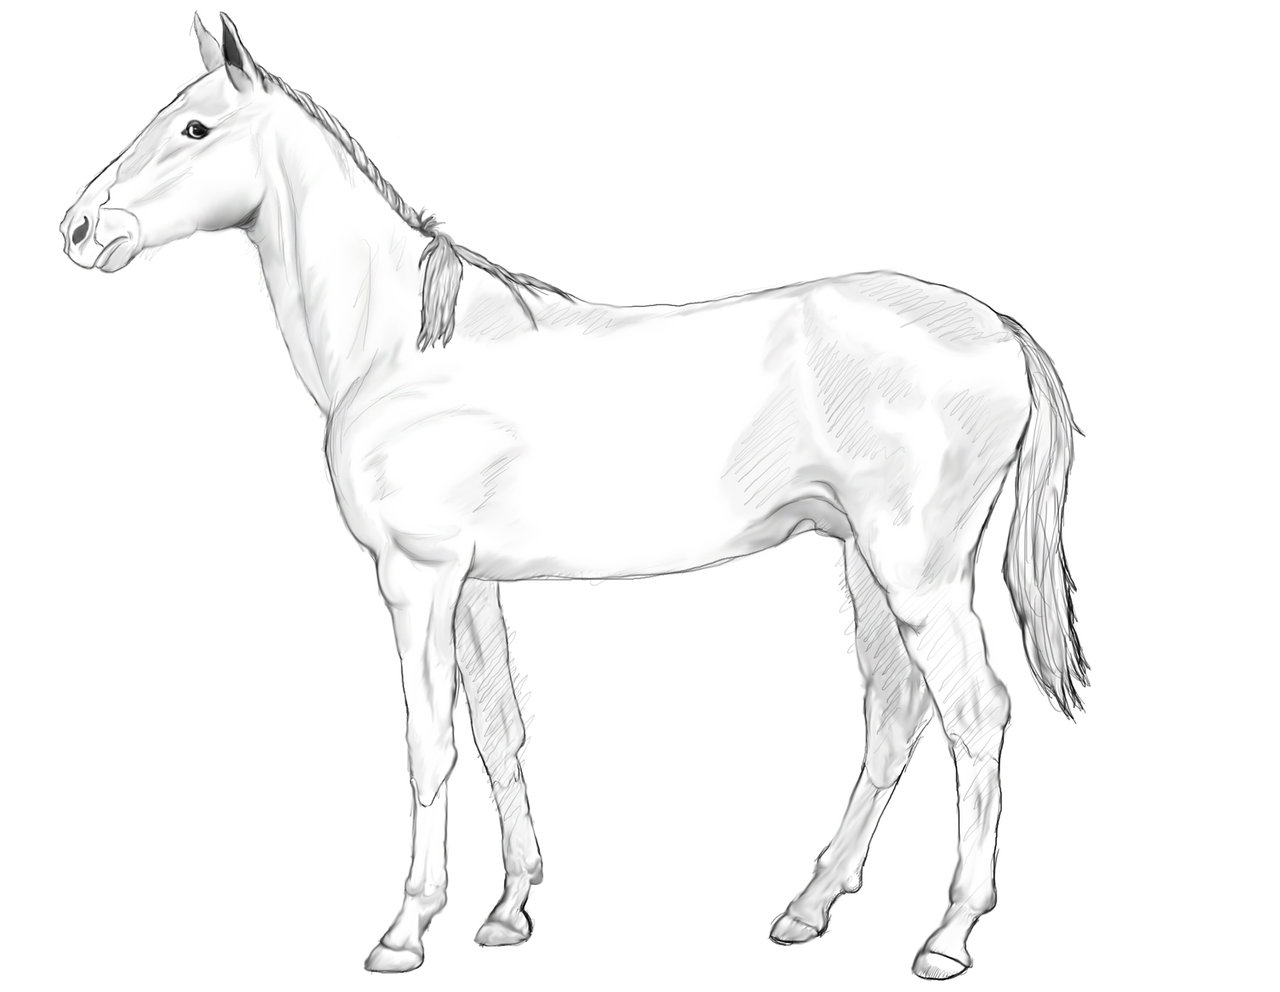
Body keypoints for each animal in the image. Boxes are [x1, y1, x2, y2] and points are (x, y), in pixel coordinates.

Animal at [60, 13, 1087, 981]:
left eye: (194, 127)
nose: (78, 229)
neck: (405, 347)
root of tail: (997, 325)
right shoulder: (473, 583)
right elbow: (498, 731)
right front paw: (509, 910)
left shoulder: (415, 578)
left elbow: (429, 744)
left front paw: (405, 931)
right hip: (868, 567)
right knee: (894, 718)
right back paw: (808, 908)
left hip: (917, 571)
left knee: (975, 715)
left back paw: (947, 937)